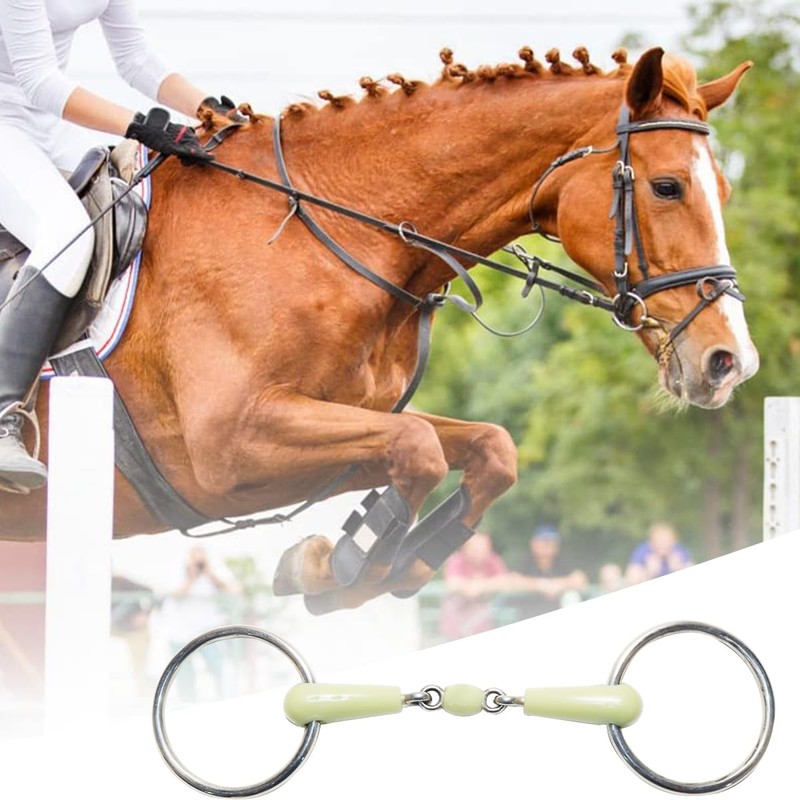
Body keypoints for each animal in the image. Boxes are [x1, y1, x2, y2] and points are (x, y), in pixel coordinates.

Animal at [0, 45, 757, 614]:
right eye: (667, 187)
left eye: (723, 190)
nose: (731, 361)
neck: (318, 230)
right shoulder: (227, 450)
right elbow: (419, 449)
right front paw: (339, 563)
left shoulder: (346, 422)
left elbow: (485, 449)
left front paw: (358, 565)